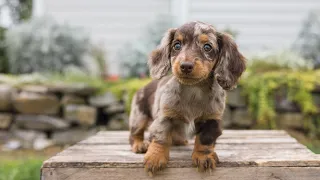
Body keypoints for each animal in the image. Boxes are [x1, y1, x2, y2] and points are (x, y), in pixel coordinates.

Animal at [129, 21, 246, 174]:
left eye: (207, 47)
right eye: (177, 45)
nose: (185, 66)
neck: (193, 91)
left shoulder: (212, 120)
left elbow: (205, 139)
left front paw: (204, 157)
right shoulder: (164, 117)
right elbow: (161, 137)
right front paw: (155, 157)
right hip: (139, 116)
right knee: (135, 134)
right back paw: (140, 144)